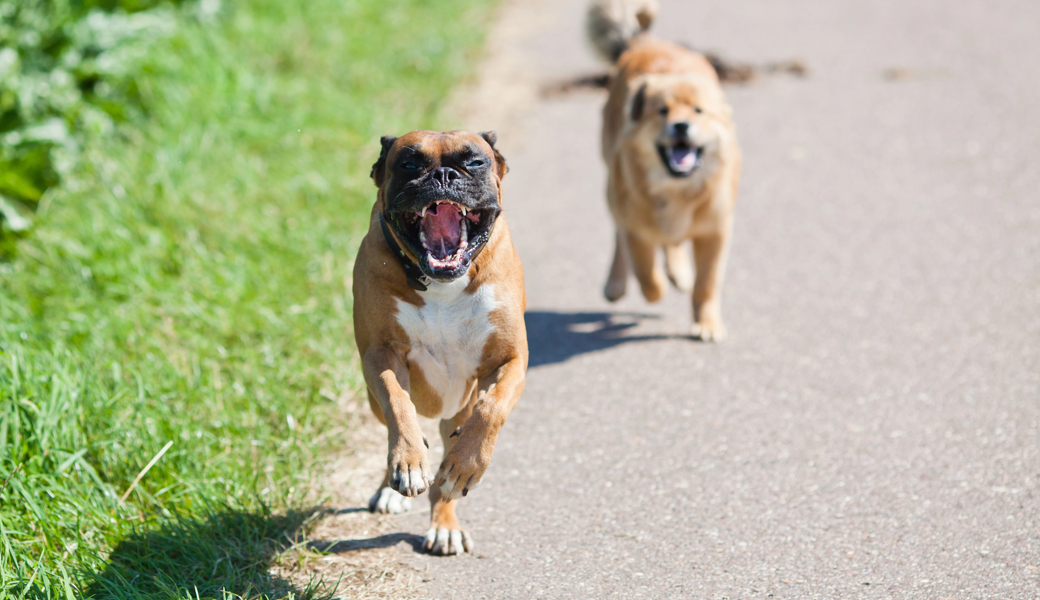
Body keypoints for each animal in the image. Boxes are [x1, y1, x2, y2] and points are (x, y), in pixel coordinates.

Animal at [353, 128, 528, 553]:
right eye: (409, 164)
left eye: (475, 162)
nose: (444, 175)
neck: (440, 283)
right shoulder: (380, 355)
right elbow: (398, 405)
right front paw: (408, 462)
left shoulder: (510, 361)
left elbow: (491, 410)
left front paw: (464, 468)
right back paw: (391, 488)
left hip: (457, 413)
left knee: (449, 468)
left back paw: (446, 521)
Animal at [590, 0, 744, 338]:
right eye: (662, 111)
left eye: (699, 111)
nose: (681, 125)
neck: (677, 189)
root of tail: (645, 43)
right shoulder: (636, 227)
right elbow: (646, 273)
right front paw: (655, 289)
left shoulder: (715, 231)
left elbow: (707, 282)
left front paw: (706, 323)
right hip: (612, 187)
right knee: (621, 237)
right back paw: (617, 282)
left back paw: (678, 271)